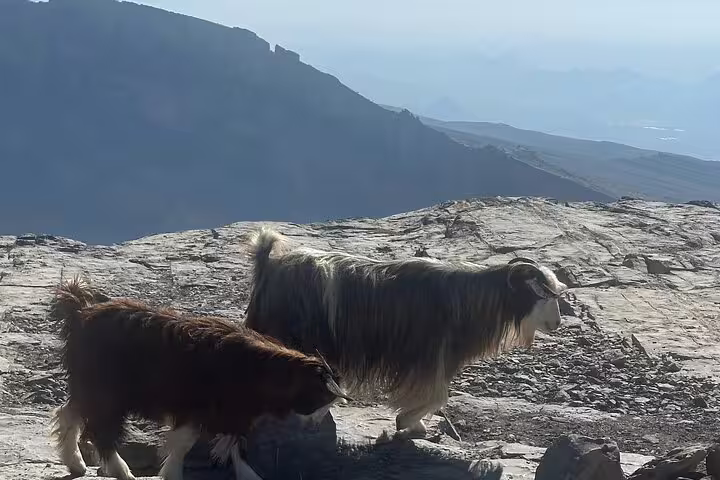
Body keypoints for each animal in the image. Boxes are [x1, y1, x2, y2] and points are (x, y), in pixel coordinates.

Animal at [49, 277, 350, 480]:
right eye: (322, 396)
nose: (313, 426)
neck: (259, 369)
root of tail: (80, 312)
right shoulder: (196, 406)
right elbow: (185, 442)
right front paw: (172, 474)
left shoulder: (233, 412)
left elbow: (233, 445)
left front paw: (249, 475)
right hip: (107, 391)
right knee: (101, 430)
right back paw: (121, 472)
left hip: (89, 385)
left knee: (69, 413)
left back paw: (75, 463)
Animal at [244, 227, 567, 438]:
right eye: (542, 293)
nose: (557, 324)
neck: (468, 301)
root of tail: (269, 263)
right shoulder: (430, 358)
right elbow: (438, 397)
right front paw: (407, 422)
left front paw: (412, 424)